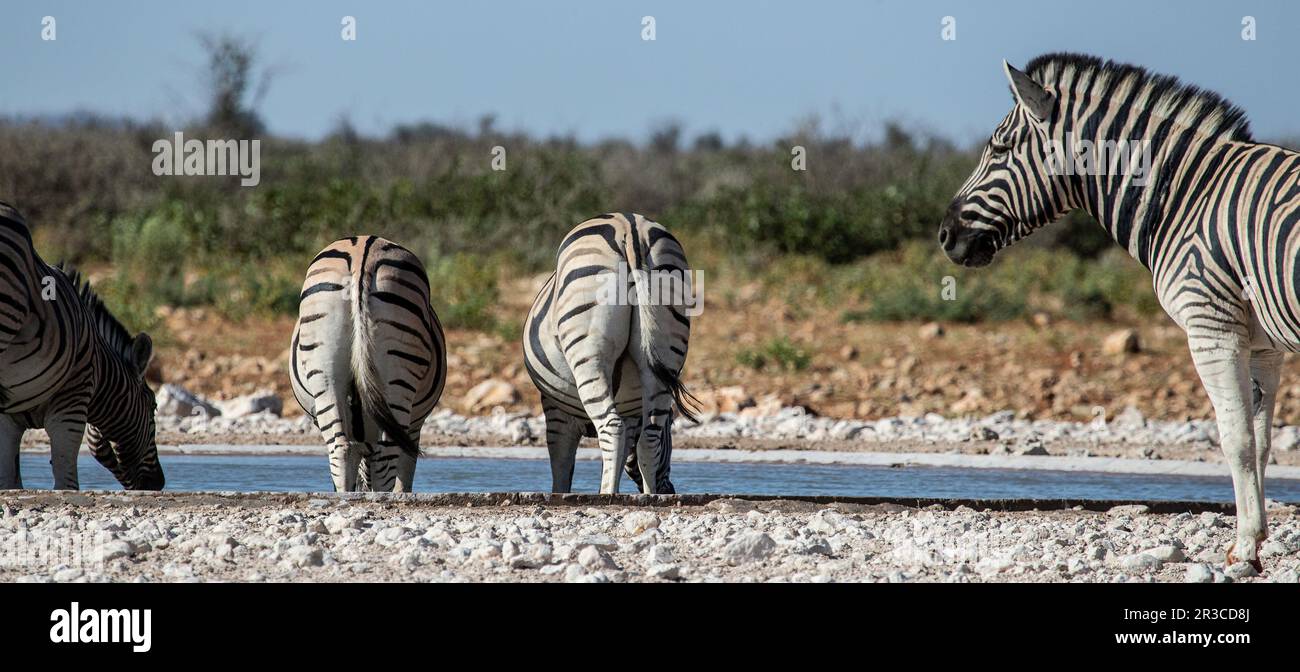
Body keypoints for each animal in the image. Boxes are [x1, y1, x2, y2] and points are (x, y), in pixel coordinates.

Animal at [0, 201, 163, 488]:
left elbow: (9, 479)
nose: (159, 483)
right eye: (153, 405)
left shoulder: (8, 417)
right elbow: (66, 480)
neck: (100, 366)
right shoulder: (71, 403)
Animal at [289, 235, 447, 491]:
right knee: (381, 455)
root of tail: (363, 249)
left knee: (342, 450)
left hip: (326, 374)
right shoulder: (414, 427)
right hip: (396, 381)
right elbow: (403, 479)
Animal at [520, 211, 696, 493]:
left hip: (589, 355)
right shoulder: (629, 413)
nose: (669, 490)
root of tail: (630, 226)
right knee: (649, 437)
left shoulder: (556, 412)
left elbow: (561, 470)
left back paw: (607, 495)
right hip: (664, 354)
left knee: (611, 428)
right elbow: (624, 453)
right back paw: (649, 497)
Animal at [941, 51, 1300, 571]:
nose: (945, 235)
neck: (1184, 194)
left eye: (1000, 149)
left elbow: (1235, 439)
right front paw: (1250, 542)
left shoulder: (1211, 325)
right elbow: (1261, 441)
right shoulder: (1263, 344)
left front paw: (1247, 547)